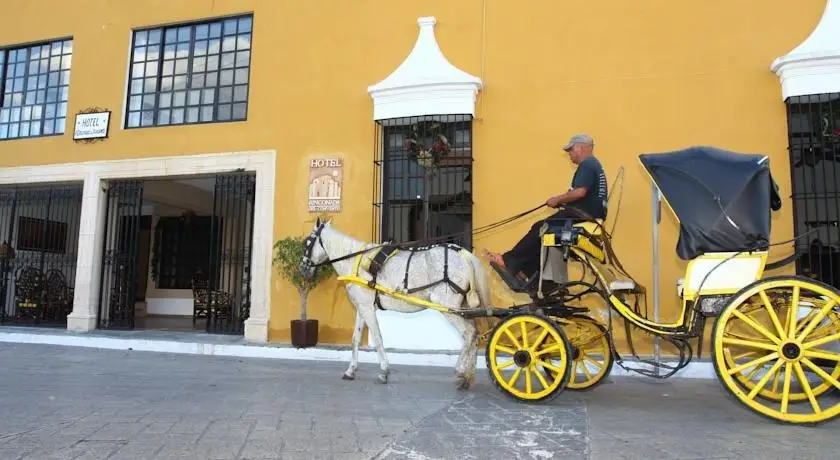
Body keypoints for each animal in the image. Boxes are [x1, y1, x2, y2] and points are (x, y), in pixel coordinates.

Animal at [298, 218, 492, 388]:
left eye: (307, 242)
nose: (302, 269)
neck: (355, 263)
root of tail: (464, 254)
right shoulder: (362, 308)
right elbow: (355, 339)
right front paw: (351, 371)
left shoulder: (367, 309)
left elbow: (377, 338)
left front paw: (384, 372)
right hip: (461, 307)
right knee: (474, 333)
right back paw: (468, 376)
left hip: (446, 306)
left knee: (468, 333)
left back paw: (460, 371)